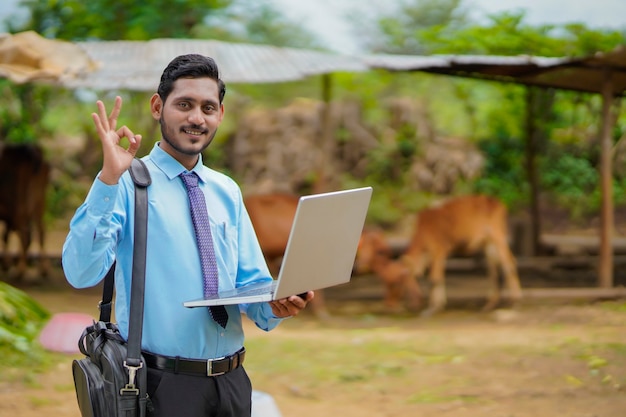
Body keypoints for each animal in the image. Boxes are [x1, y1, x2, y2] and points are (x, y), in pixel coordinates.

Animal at [0, 142, 50, 280]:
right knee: (40, 231)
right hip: (39, 202)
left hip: (19, 204)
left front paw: (7, 264)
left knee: (26, 235)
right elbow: (5, 235)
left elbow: (5, 235)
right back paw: (43, 269)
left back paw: (20, 271)